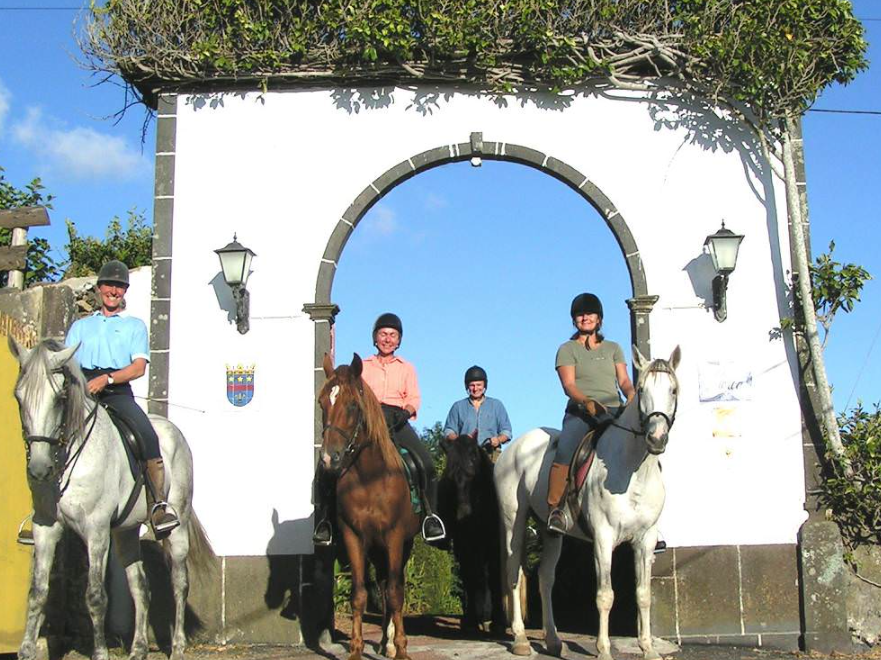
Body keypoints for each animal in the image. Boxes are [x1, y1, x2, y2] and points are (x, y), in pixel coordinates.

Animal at [10, 338, 213, 660]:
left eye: (60, 398)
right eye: (19, 397)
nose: (40, 469)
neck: (67, 457)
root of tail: (171, 428)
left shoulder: (96, 531)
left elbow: (95, 596)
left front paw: (100, 653)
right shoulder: (46, 529)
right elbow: (37, 592)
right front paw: (27, 651)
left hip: (177, 526)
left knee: (180, 582)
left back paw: (179, 646)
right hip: (126, 532)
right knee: (140, 585)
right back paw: (139, 648)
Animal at [318, 354, 422, 656]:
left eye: (353, 405)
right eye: (321, 403)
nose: (328, 459)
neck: (369, 478)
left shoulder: (395, 537)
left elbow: (396, 594)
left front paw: (401, 649)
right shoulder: (353, 536)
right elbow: (360, 594)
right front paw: (355, 649)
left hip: (401, 544)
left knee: (393, 586)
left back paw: (391, 644)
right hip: (376, 547)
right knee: (383, 583)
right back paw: (385, 643)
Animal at [496, 346, 680, 660]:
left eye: (673, 390)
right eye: (642, 389)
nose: (656, 438)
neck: (632, 470)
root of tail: (514, 447)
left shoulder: (645, 540)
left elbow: (643, 595)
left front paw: (647, 649)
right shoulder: (604, 538)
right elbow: (605, 596)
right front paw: (603, 650)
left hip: (550, 531)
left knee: (545, 578)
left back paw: (554, 641)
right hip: (513, 523)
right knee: (513, 574)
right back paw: (520, 640)